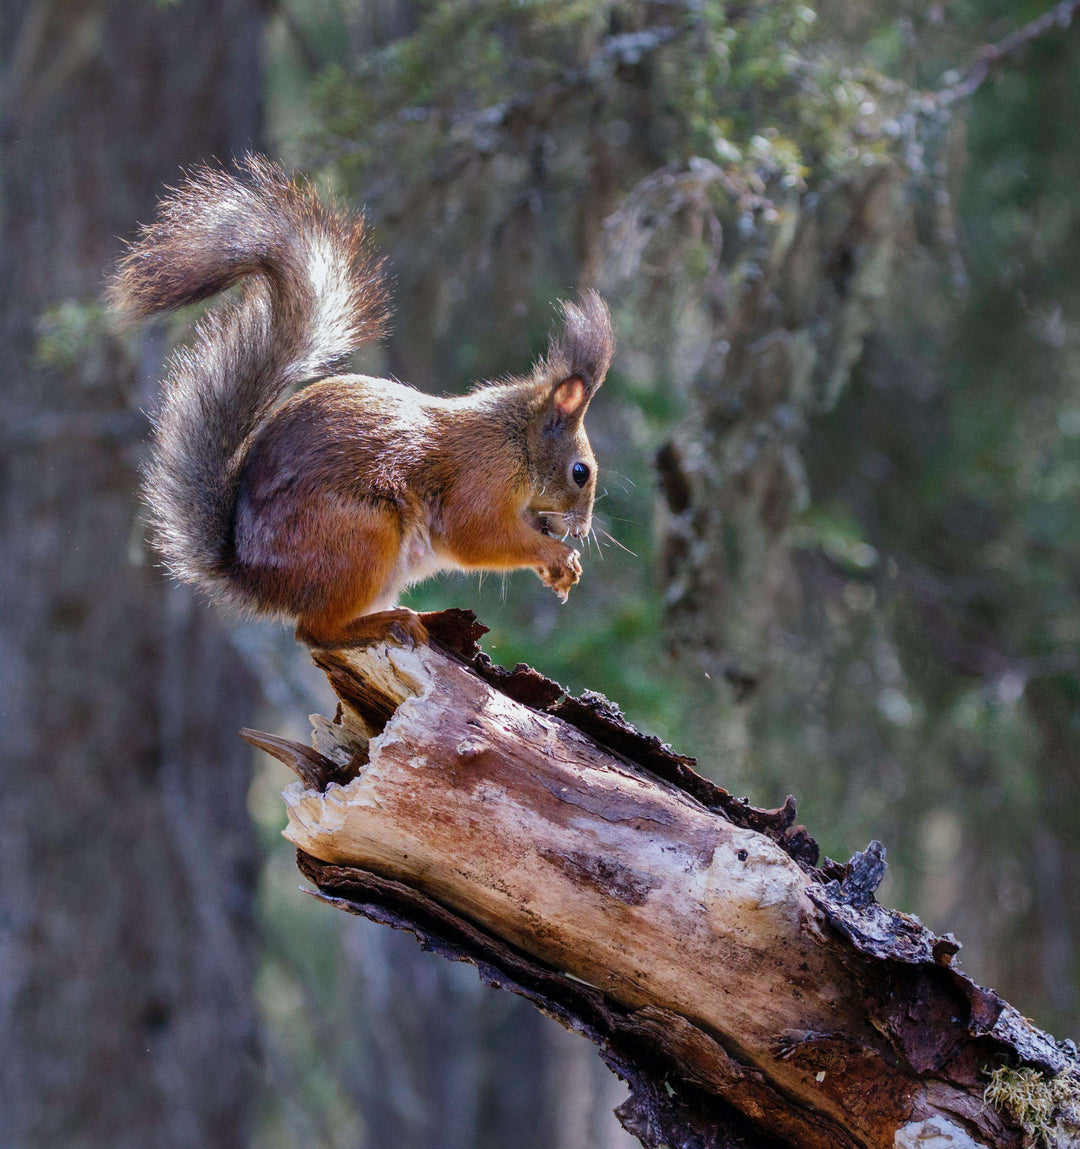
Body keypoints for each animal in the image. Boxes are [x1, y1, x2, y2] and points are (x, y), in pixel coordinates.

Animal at [111, 156, 614, 647]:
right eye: (581, 472)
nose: (582, 530)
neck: (515, 438)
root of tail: (256, 577)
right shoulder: (480, 478)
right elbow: (475, 535)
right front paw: (558, 555)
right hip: (362, 537)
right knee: (314, 632)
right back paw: (387, 622)